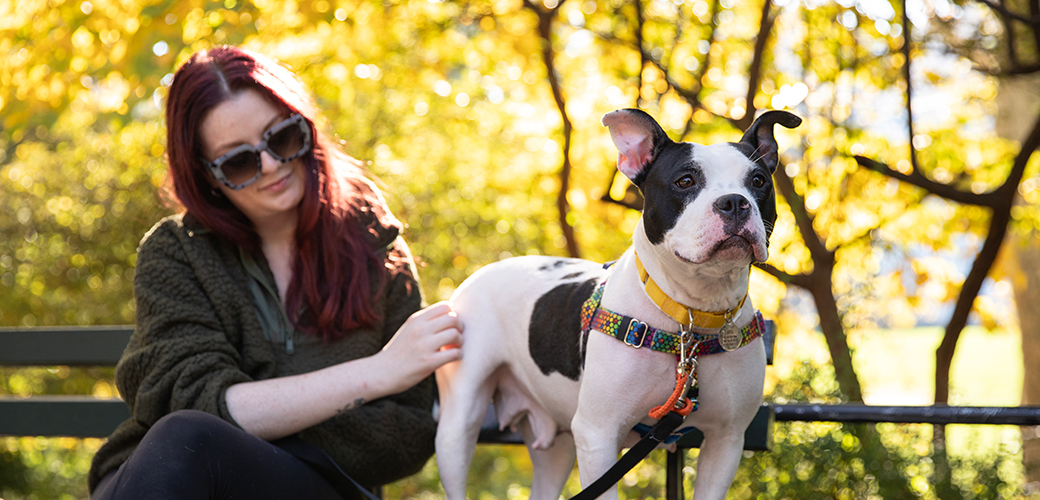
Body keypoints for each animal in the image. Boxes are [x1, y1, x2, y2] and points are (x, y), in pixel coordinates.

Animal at [434, 109, 798, 498]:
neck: (690, 317)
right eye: (685, 181)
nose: (734, 201)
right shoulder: (598, 436)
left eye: (758, 180)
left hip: (557, 446)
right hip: (459, 425)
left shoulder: (726, 440)